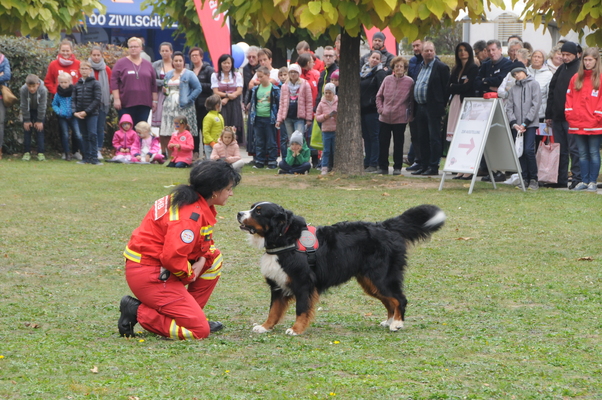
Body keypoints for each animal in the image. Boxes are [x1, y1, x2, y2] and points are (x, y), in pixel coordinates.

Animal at [237, 202, 442, 336]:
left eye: (258, 212)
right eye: (252, 207)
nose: (239, 213)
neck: (285, 239)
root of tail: (385, 227)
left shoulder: (303, 283)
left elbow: (301, 309)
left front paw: (296, 330)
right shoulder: (277, 285)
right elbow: (273, 310)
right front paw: (265, 327)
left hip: (381, 277)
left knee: (400, 299)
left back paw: (397, 324)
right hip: (370, 281)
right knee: (390, 301)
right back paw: (390, 321)